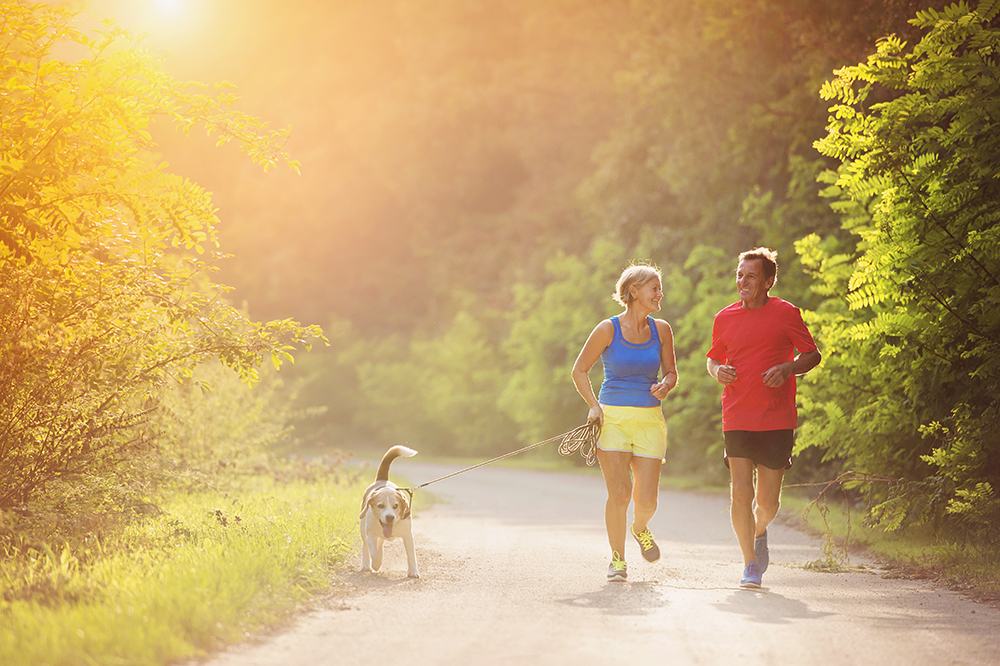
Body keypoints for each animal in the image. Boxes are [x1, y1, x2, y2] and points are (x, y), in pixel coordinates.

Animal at [360, 446, 418, 576]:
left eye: (395, 506)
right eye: (380, 506)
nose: (390, 517)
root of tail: (382, 479)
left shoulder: (408, 535)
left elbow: (411, 555)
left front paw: (413, 572)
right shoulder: (370, 535)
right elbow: (374, 552)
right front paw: (376, 565)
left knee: (380, 543)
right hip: (363, 529)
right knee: (366, 547)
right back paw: (366, 565)